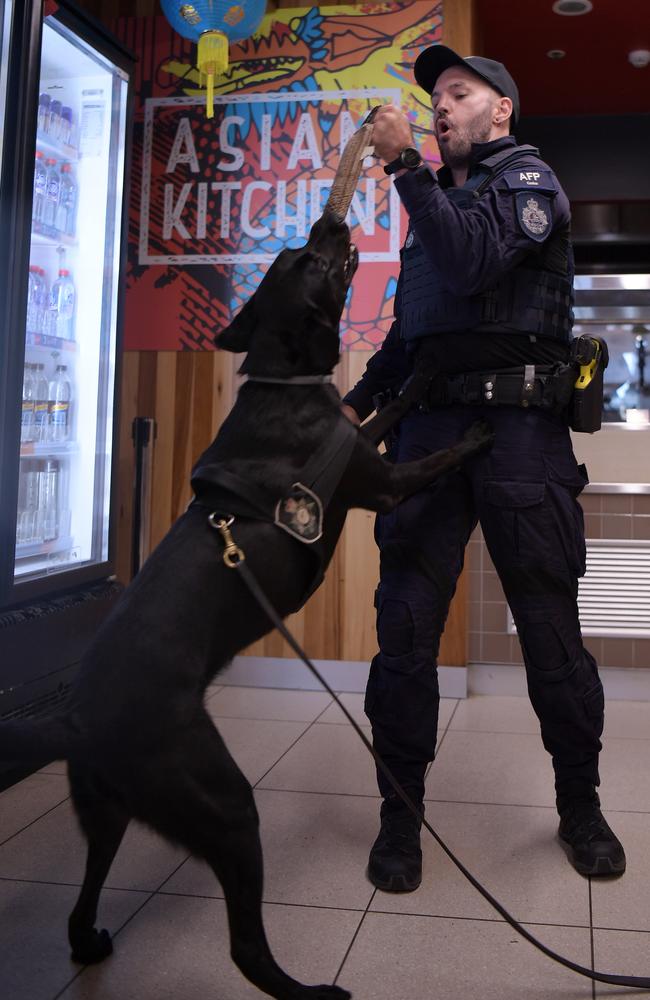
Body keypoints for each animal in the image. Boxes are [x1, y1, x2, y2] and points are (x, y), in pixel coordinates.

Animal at [0, 211, 488, 1000]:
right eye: (307, 257)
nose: (325, 220)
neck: (284, 380)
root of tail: (76, 722)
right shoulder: (380, 484)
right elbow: (417, 433)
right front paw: (453, 403)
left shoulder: (359, 444)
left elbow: (383, 407)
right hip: (224, 805)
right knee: (245, 949)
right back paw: (310, 991)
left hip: (108, 815)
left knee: (80, 907)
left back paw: (92, 944)